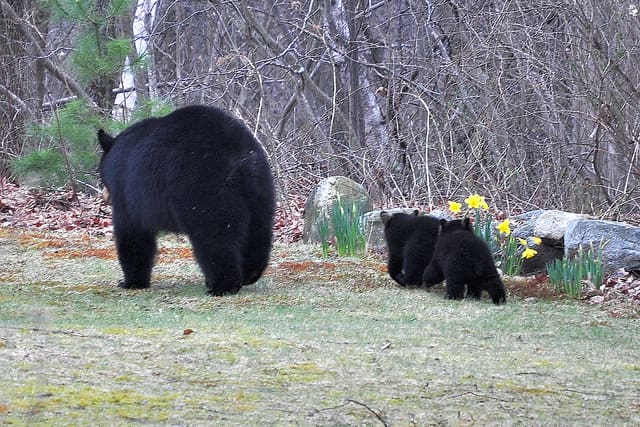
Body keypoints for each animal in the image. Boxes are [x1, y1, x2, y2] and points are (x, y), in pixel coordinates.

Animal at [97, 105, 275, 296]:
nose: (105, 197)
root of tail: (239, 155)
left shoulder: (126, 192)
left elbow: (132, 234)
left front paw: (131, 282)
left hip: (204, 188)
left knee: (215, 235)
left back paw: (222, 286)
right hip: (260, 189)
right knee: (258, 230)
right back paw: (250, 273)